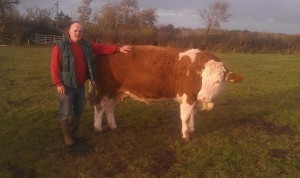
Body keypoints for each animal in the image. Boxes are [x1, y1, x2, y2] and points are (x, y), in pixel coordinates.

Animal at [89, 45, 244, 140]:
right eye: (203, 78)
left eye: (218, 81)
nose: (202, 96)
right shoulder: (188, 97)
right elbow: (186, 116)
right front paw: (186, 135)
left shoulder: (193, 98)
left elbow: (193, 114)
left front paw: (192, 129)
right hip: (105, 90)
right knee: (99, 106)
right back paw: (98, 127)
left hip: (114, 92)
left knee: (109, 108)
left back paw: (113, 126)